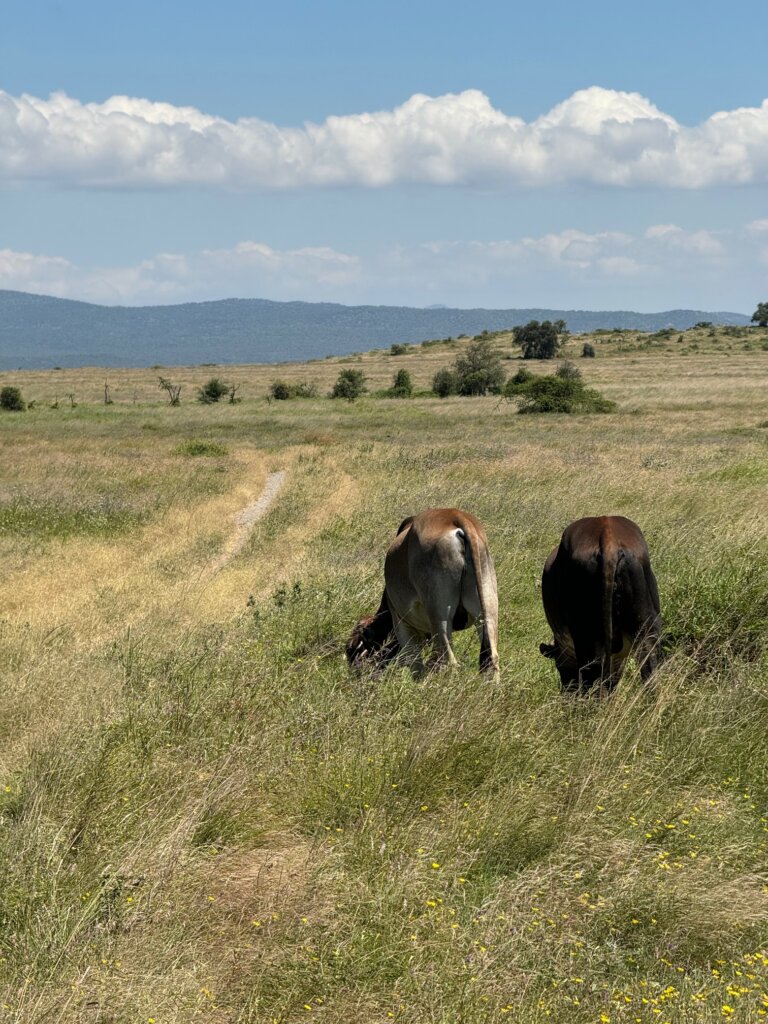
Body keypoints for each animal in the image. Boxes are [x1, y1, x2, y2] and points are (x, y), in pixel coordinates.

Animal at [348, 505, 499, 679]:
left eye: (356, 647)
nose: (357, 675)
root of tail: (454, 516)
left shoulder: (401, 624)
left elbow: (417, 668)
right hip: (487, 608)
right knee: (491, 659)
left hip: (439, 617)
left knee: (449, 661)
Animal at [540, 516, 663, 692]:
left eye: (559, 667)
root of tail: (608, 539)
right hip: (646, 631)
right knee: (649, 672)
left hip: (589, 640)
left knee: (594, 680)